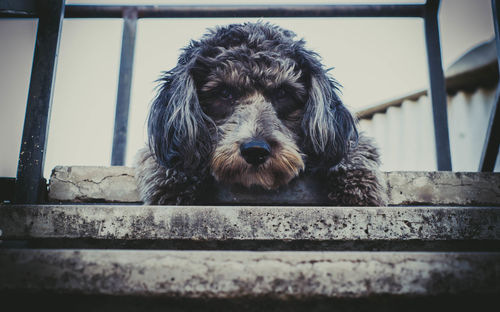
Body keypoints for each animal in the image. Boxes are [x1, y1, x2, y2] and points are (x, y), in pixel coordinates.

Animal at [135, 22, 388, 207]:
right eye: (224, 92)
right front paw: (173, 179)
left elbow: (351, 146)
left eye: (282, 92)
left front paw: (359, 184)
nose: (255, 151)